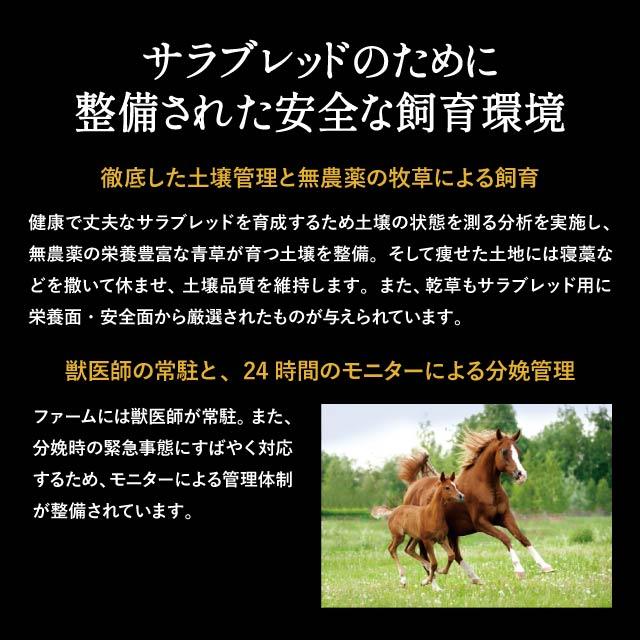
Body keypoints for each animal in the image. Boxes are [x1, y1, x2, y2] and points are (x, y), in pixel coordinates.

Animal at [401, 429, 554, 585]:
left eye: (518, 451)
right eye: (504, 451)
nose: (521, 475)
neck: (486, 487)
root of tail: (413, 486)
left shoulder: (505, 517)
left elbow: (522, 537)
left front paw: (545, 566)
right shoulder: (481, 523)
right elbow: (505, 538)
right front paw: (519, 571)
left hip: (452, 533)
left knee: (455, 554)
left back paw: (475, 578)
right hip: (423, 535)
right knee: (422, 554)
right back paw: (430, 583)